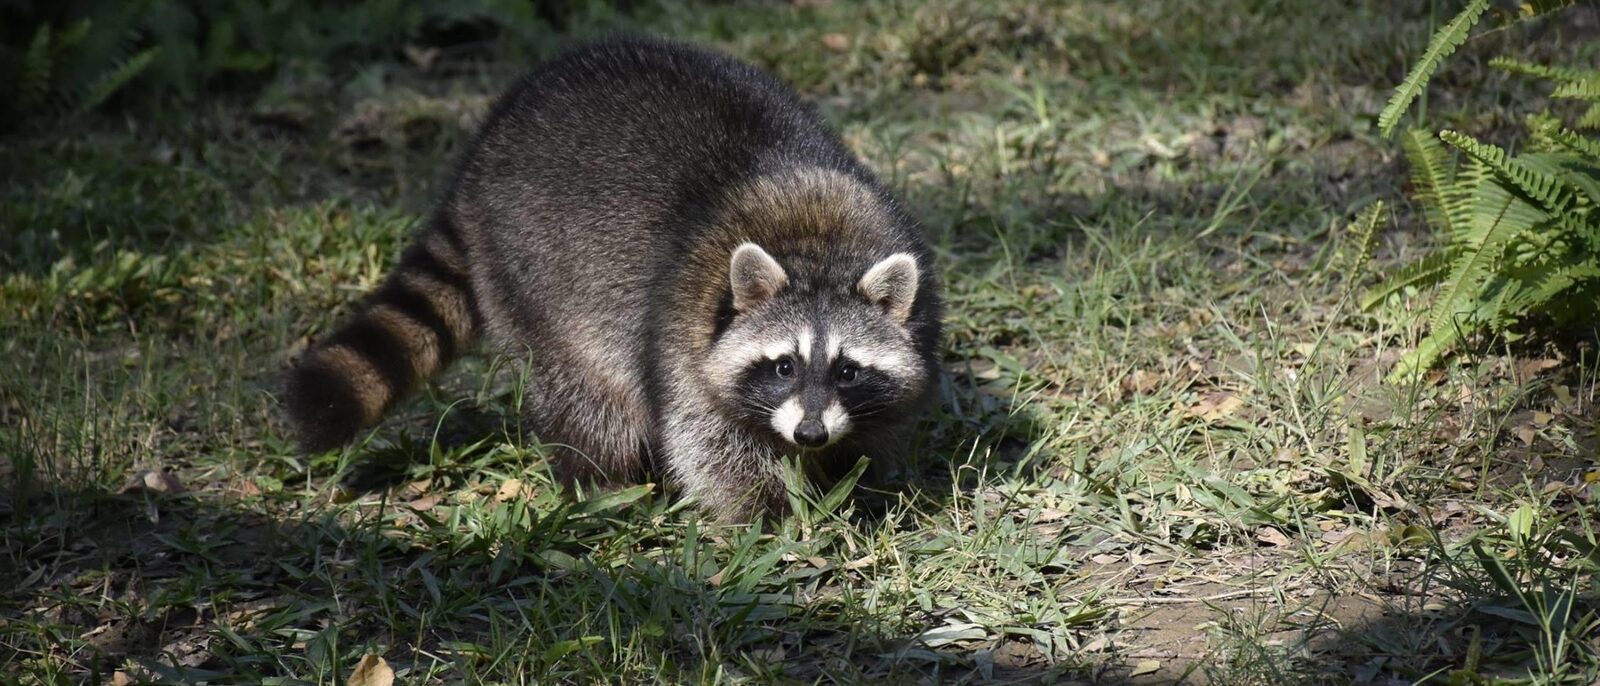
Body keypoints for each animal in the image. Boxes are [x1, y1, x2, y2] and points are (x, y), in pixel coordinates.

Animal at [284, 36, 941, 521]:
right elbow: (709, 442)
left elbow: (885, 420)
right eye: (783, 365)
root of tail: (486, 146)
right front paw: (769, 512)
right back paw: (599, 482)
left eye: (848, 370)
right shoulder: (682, 327)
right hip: (527, 270)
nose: (809, 434)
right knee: (589, 396)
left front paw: (861, 480)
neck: (817, 245)